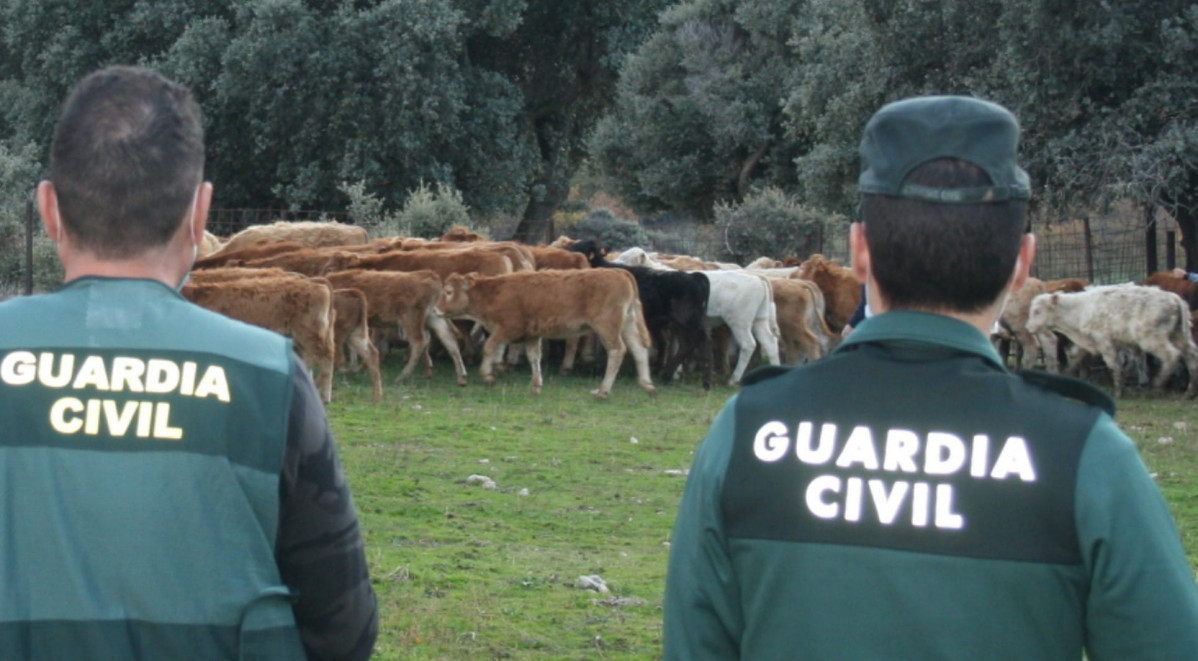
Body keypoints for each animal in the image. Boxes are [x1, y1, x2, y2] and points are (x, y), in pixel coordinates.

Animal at [436, 268, 656, 397]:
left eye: (448, 292)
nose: (436, 309)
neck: (493, 293)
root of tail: (620, 272)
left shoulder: (507, 329)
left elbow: (489, 348)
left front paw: (487, 375)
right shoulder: (532, 335)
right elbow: (534, 357)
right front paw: (536, 385)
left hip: (607, 326)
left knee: (617, 351)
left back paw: (603, 390)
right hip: (628, 323)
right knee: (639, 349)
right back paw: (646, 384)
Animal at [1020, 283, 1198, 397]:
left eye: (1037, 311)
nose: (1028, 328)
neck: (1079, 309)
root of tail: (1174, 299)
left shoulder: (1104, 341)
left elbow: (1113, 365)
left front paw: (1119, 391)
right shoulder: (1087, 341)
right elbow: (1074, 357)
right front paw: (1067, 375)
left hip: (1151, 338)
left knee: (1171, 355)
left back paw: (1158, 384)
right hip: (1180, 335)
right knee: (1191, 356)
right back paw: (1189, 392)